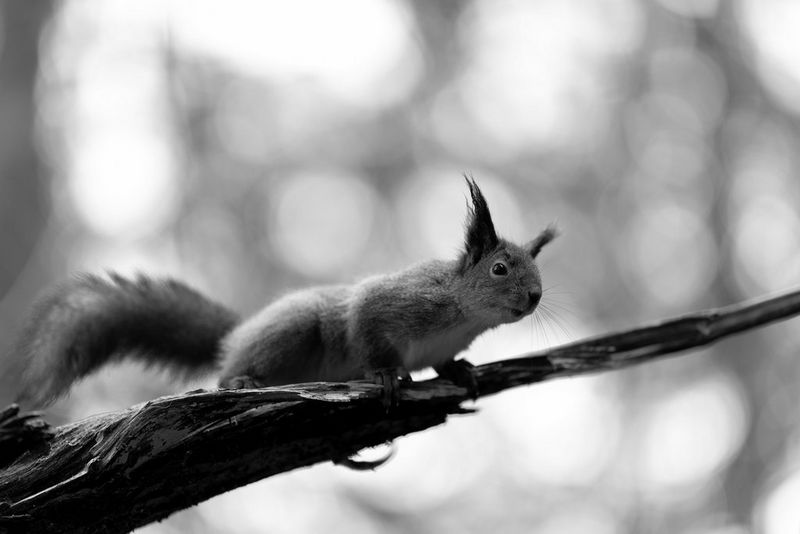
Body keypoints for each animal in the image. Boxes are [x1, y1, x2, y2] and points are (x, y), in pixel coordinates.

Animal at [14, 176, 557, 411]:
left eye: (537, 270)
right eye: (500, 269)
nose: (534, 296)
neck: (463, 314)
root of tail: (234, 339)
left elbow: (445, 363)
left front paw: (460, 370)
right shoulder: (391, 302)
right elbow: (365, 329)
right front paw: (384, 373)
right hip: (293, 330)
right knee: (228, 373)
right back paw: (241, 380)